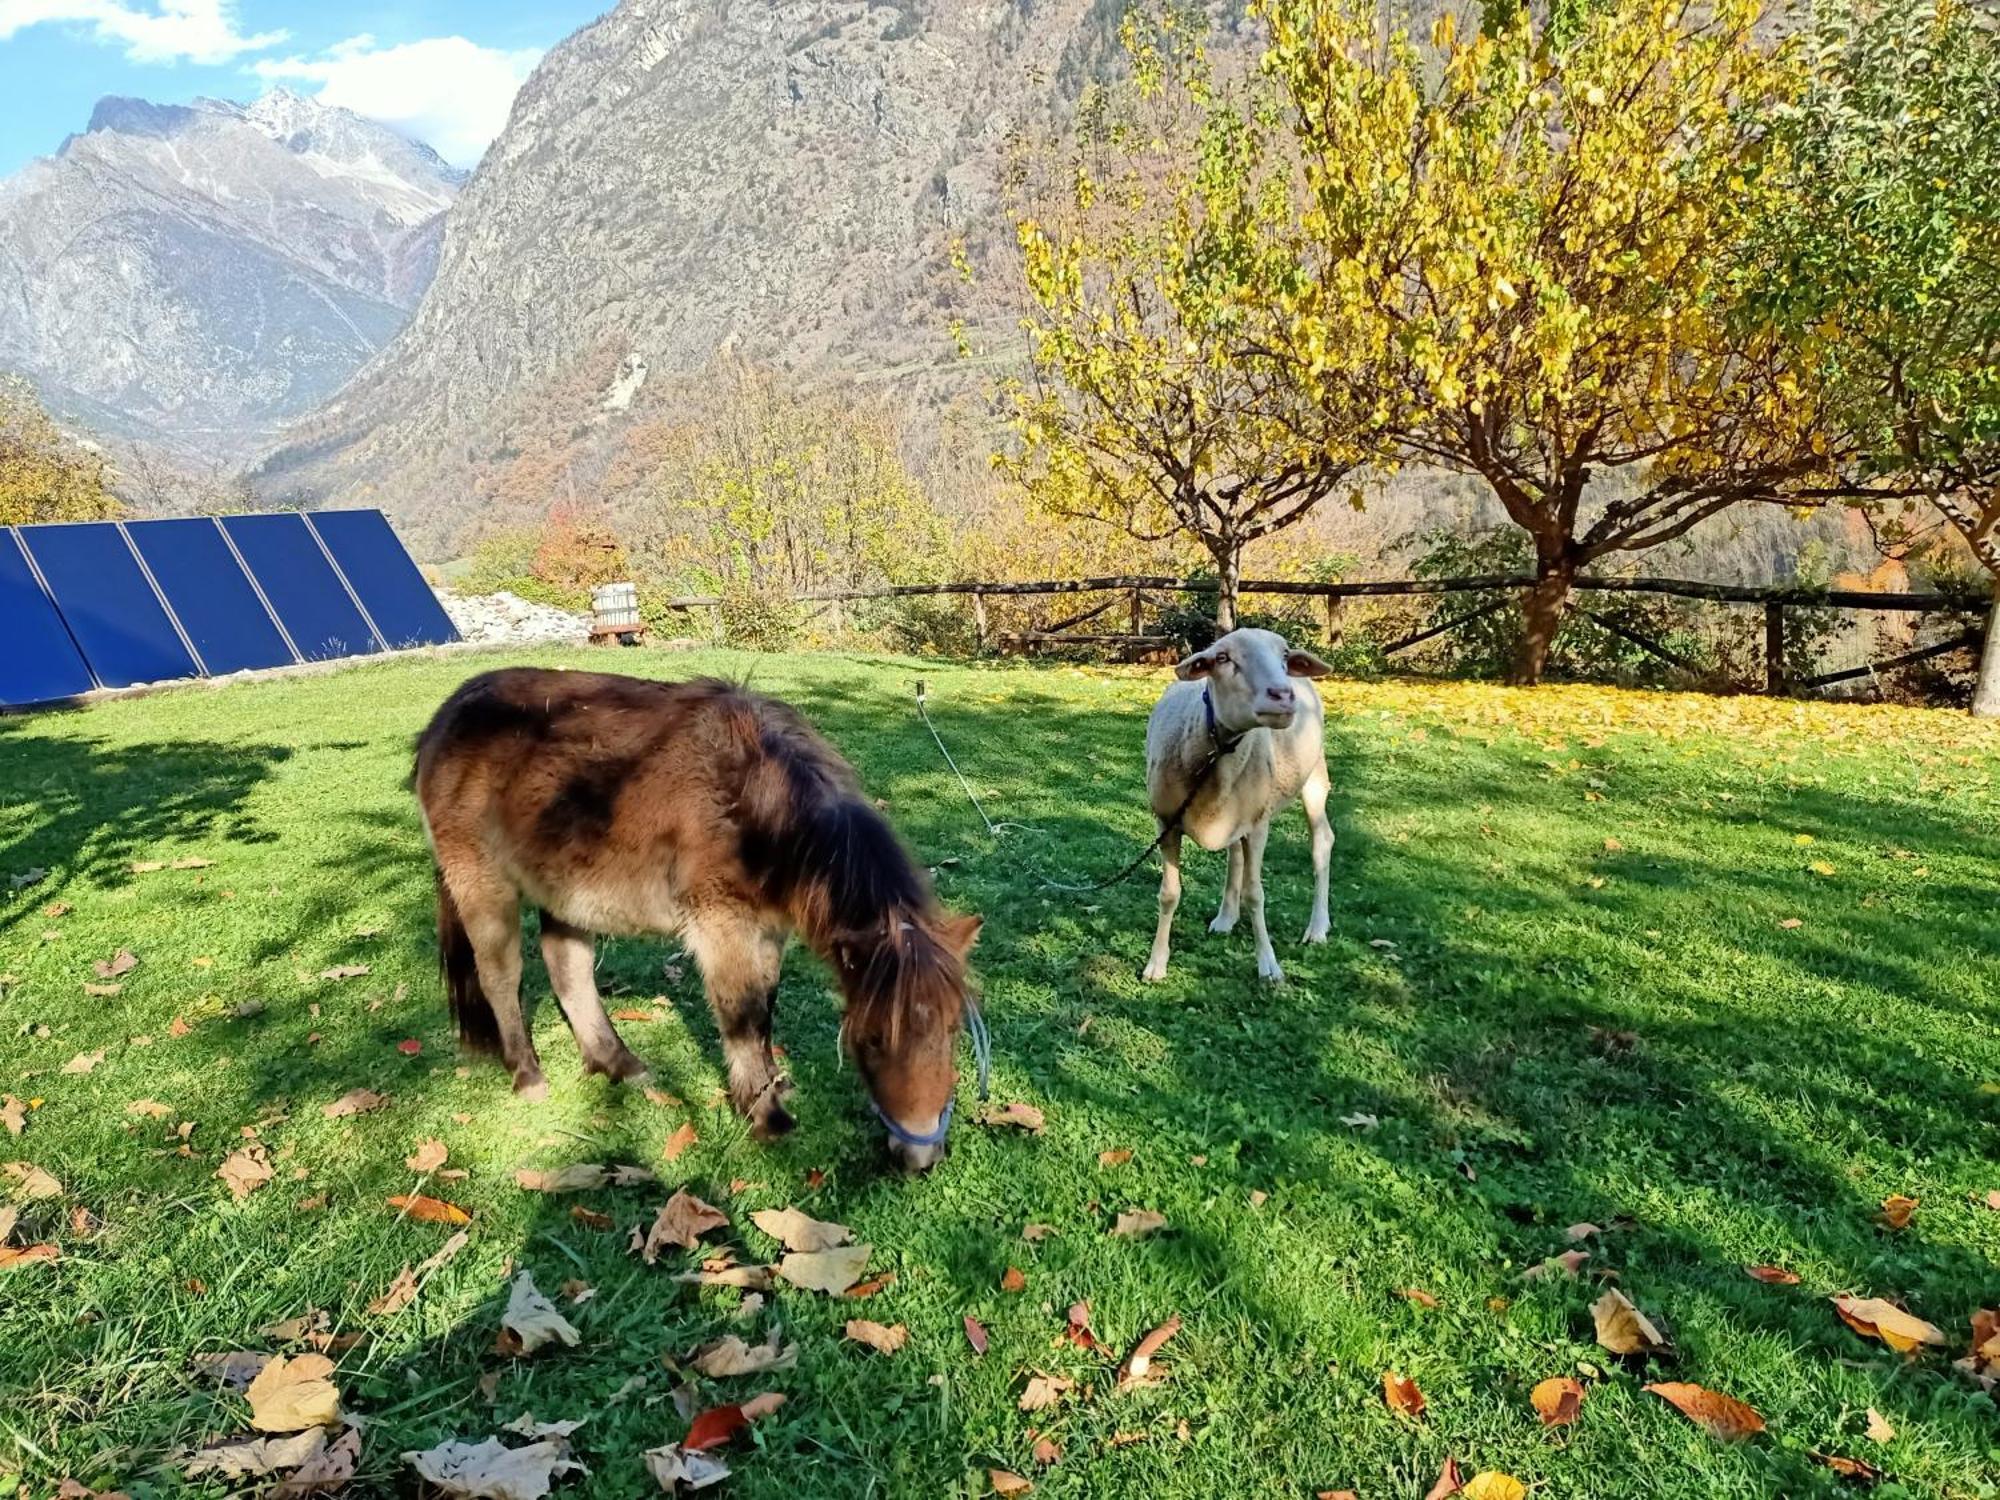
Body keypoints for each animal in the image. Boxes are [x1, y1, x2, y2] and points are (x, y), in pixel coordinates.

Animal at [412, 668, 984, 1176]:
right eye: (871, 1040)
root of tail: (443, 720)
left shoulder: (767, 931)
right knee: (500, 976)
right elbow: (744, 1018)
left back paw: (618, 1063)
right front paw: (764, 1114)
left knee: (567, 968)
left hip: (564, 887)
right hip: (482, 882)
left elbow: (765, 1009)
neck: (754, 807)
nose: (920, 1158)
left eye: (953, 1029)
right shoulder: (722, 928)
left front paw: (772, 1085)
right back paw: (528, 1073)